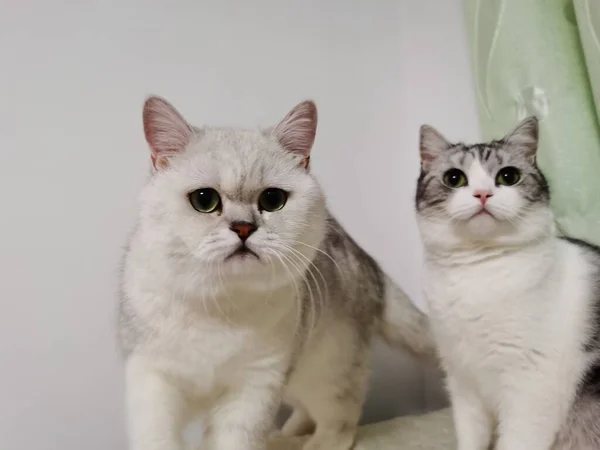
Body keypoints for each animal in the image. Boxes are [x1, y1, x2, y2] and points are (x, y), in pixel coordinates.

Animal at [118, 96, 436, 450]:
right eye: (204, 200)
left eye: (272, 199)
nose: (243, 228)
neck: (220, 307)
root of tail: (372, 265)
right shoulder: (151, 377)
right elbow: (156, 438)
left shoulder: (255, 388)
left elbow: (235, 441)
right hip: (296, 377)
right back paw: (285, 434)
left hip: (326, 367)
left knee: (342, 418)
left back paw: (312, 443)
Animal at [414, 117, 600, 450]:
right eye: (454, 178)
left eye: (508, 176)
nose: (483, 194)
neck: (477, 272)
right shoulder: (463, 383)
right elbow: (471, 438)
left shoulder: (531, 389)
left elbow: (516, 440)